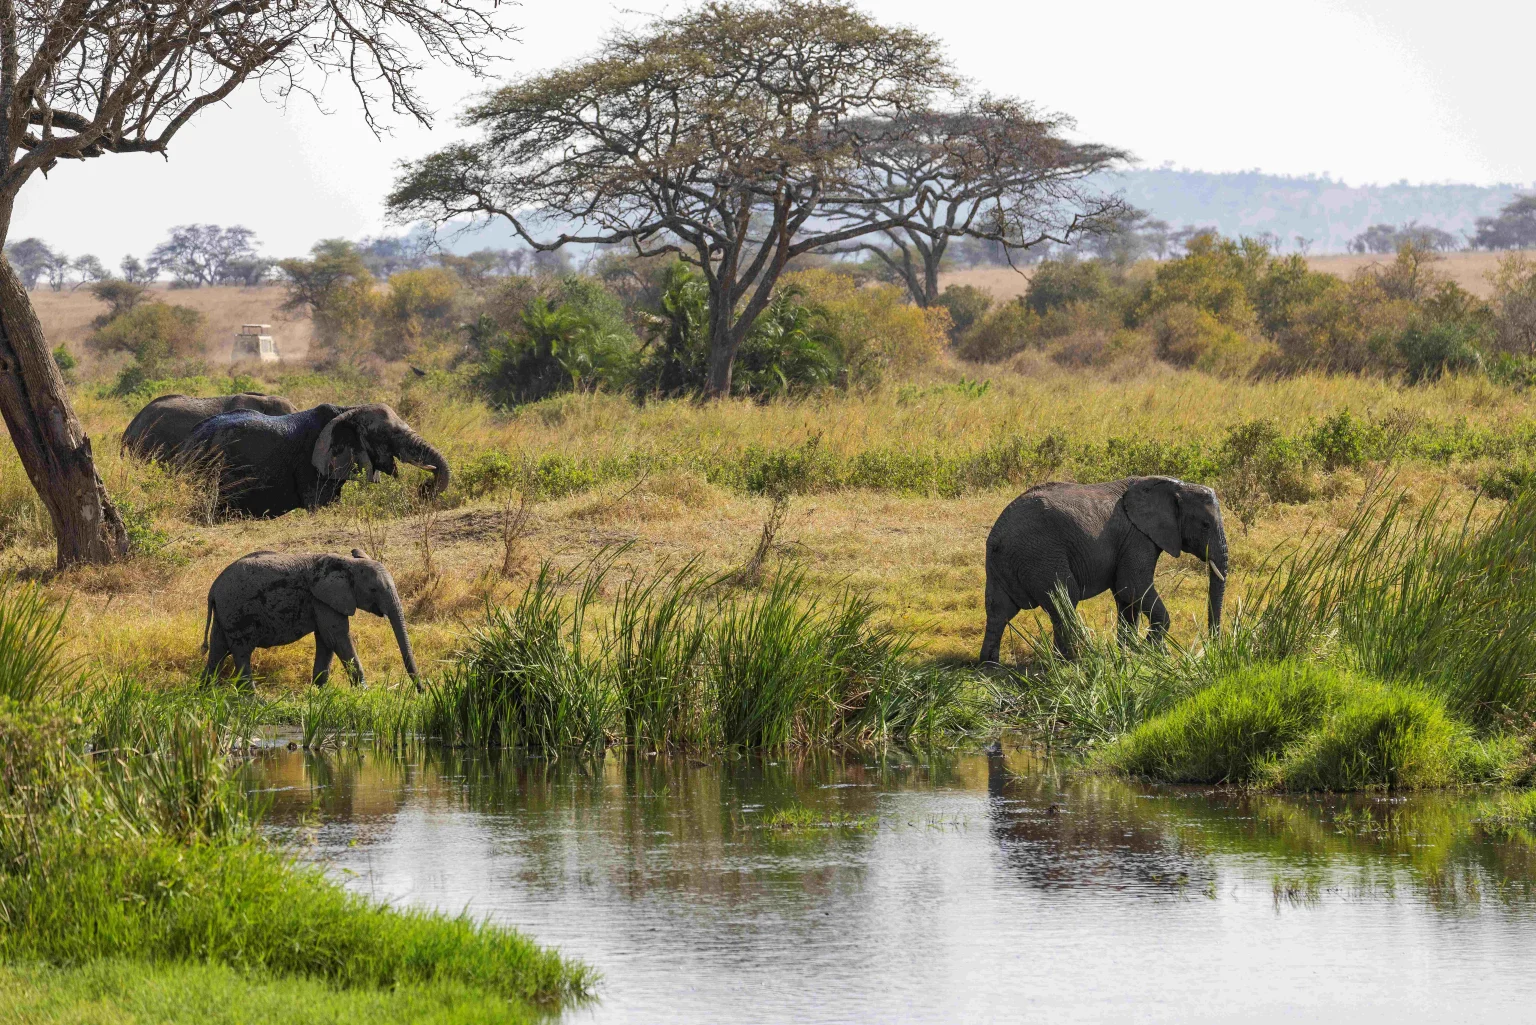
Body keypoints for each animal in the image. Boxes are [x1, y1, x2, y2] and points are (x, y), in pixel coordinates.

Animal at [177, 402, 450, 517]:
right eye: (387, 435)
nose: (424, 489)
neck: (348, 409)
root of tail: (190, 438)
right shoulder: (309, 464)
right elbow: (319, 504)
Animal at [202, 548, 421, 689]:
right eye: (374, 589)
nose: (421, 691)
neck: (348, 564)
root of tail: (213, 588)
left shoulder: (323, 601)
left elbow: (326, 641)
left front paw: (318, 692)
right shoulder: (323, 599)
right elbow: (337, 637)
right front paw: (364, 692)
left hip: (224, 613)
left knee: (217, 650)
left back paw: (203, 693)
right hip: (236, 610)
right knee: (241, 652)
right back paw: (255, 700)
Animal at [980, 476, 1228, 662]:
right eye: (1205, 525)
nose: (1212, 649)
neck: (1173, 486)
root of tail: (997, 536)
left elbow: (1126, 597)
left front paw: (1129, 652)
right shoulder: (1137, 538)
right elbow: (1133, 587)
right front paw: (1152, 653)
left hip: (1005, 563)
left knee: (999, 610)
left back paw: (990, 666)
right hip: (1040, 554)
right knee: (1065, 599)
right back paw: (1072, 661)